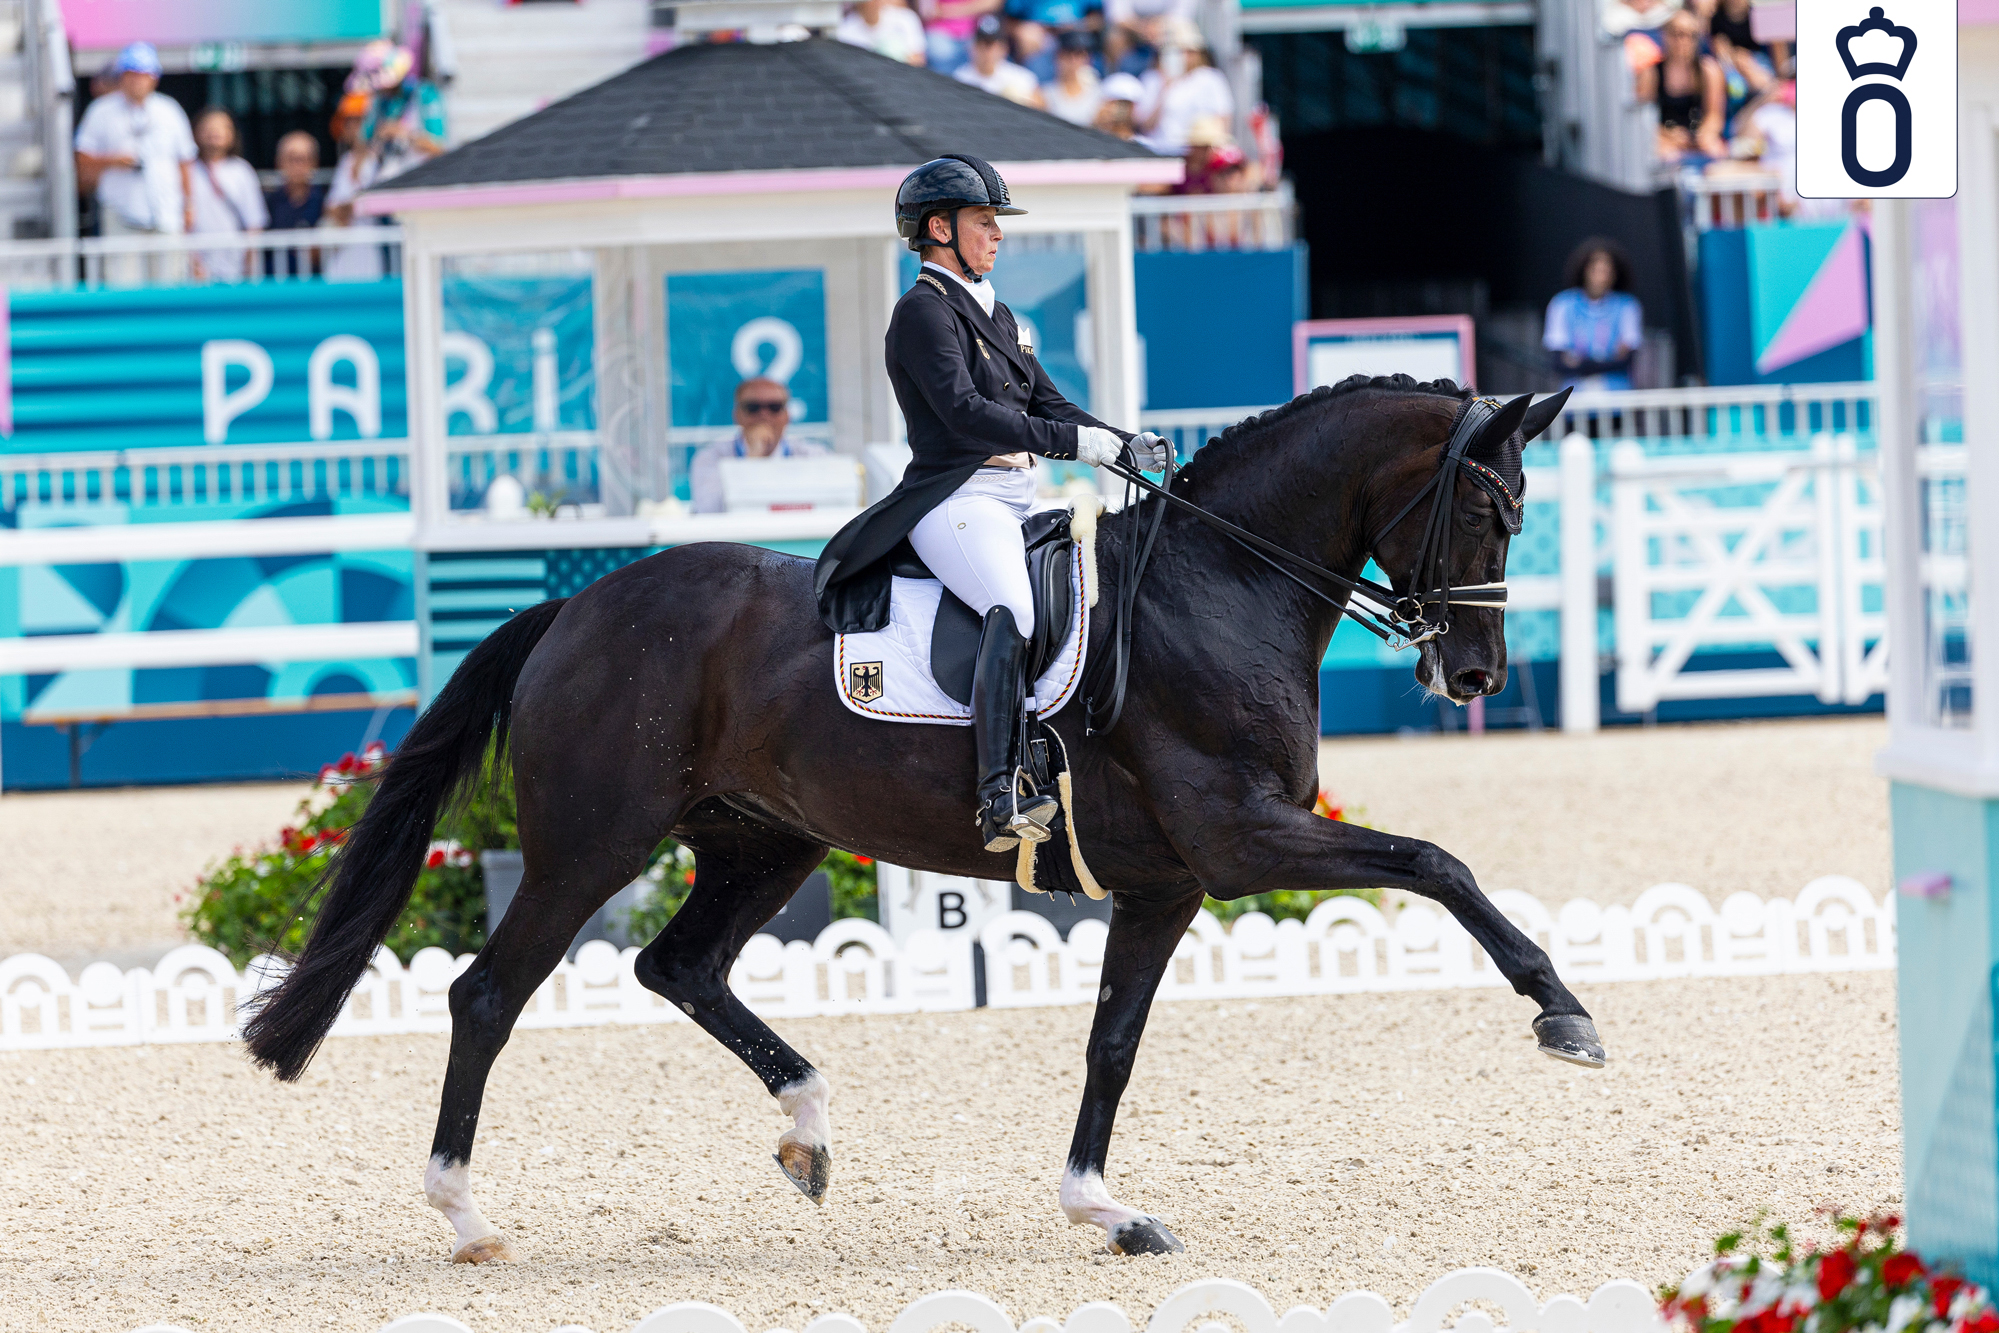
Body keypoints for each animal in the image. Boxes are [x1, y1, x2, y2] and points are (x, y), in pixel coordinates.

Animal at [237, 373, 1607, 1263]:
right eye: (1487, 511)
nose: (1473, 675)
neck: (1218, 582)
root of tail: (576, 607)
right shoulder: (1242, 839)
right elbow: (1436, 861)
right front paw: (1563, 1013)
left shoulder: (1167, 882)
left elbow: (1112, 1045)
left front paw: (1102, 1208)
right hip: (591, 843)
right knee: (489, 993)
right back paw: (466, 1215)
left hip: (762, 836)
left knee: (677, 966)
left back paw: (805, 1132)